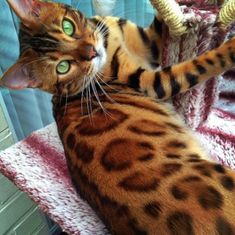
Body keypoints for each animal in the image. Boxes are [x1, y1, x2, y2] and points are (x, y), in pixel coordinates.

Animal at [1, 0, 235, 234]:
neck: (109, 41)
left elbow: (163, 18)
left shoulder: (148, 41)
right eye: (63, 67)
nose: (92, 52)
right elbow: (200, 64)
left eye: (67, 27)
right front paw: (230, 47)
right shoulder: (151, 82)